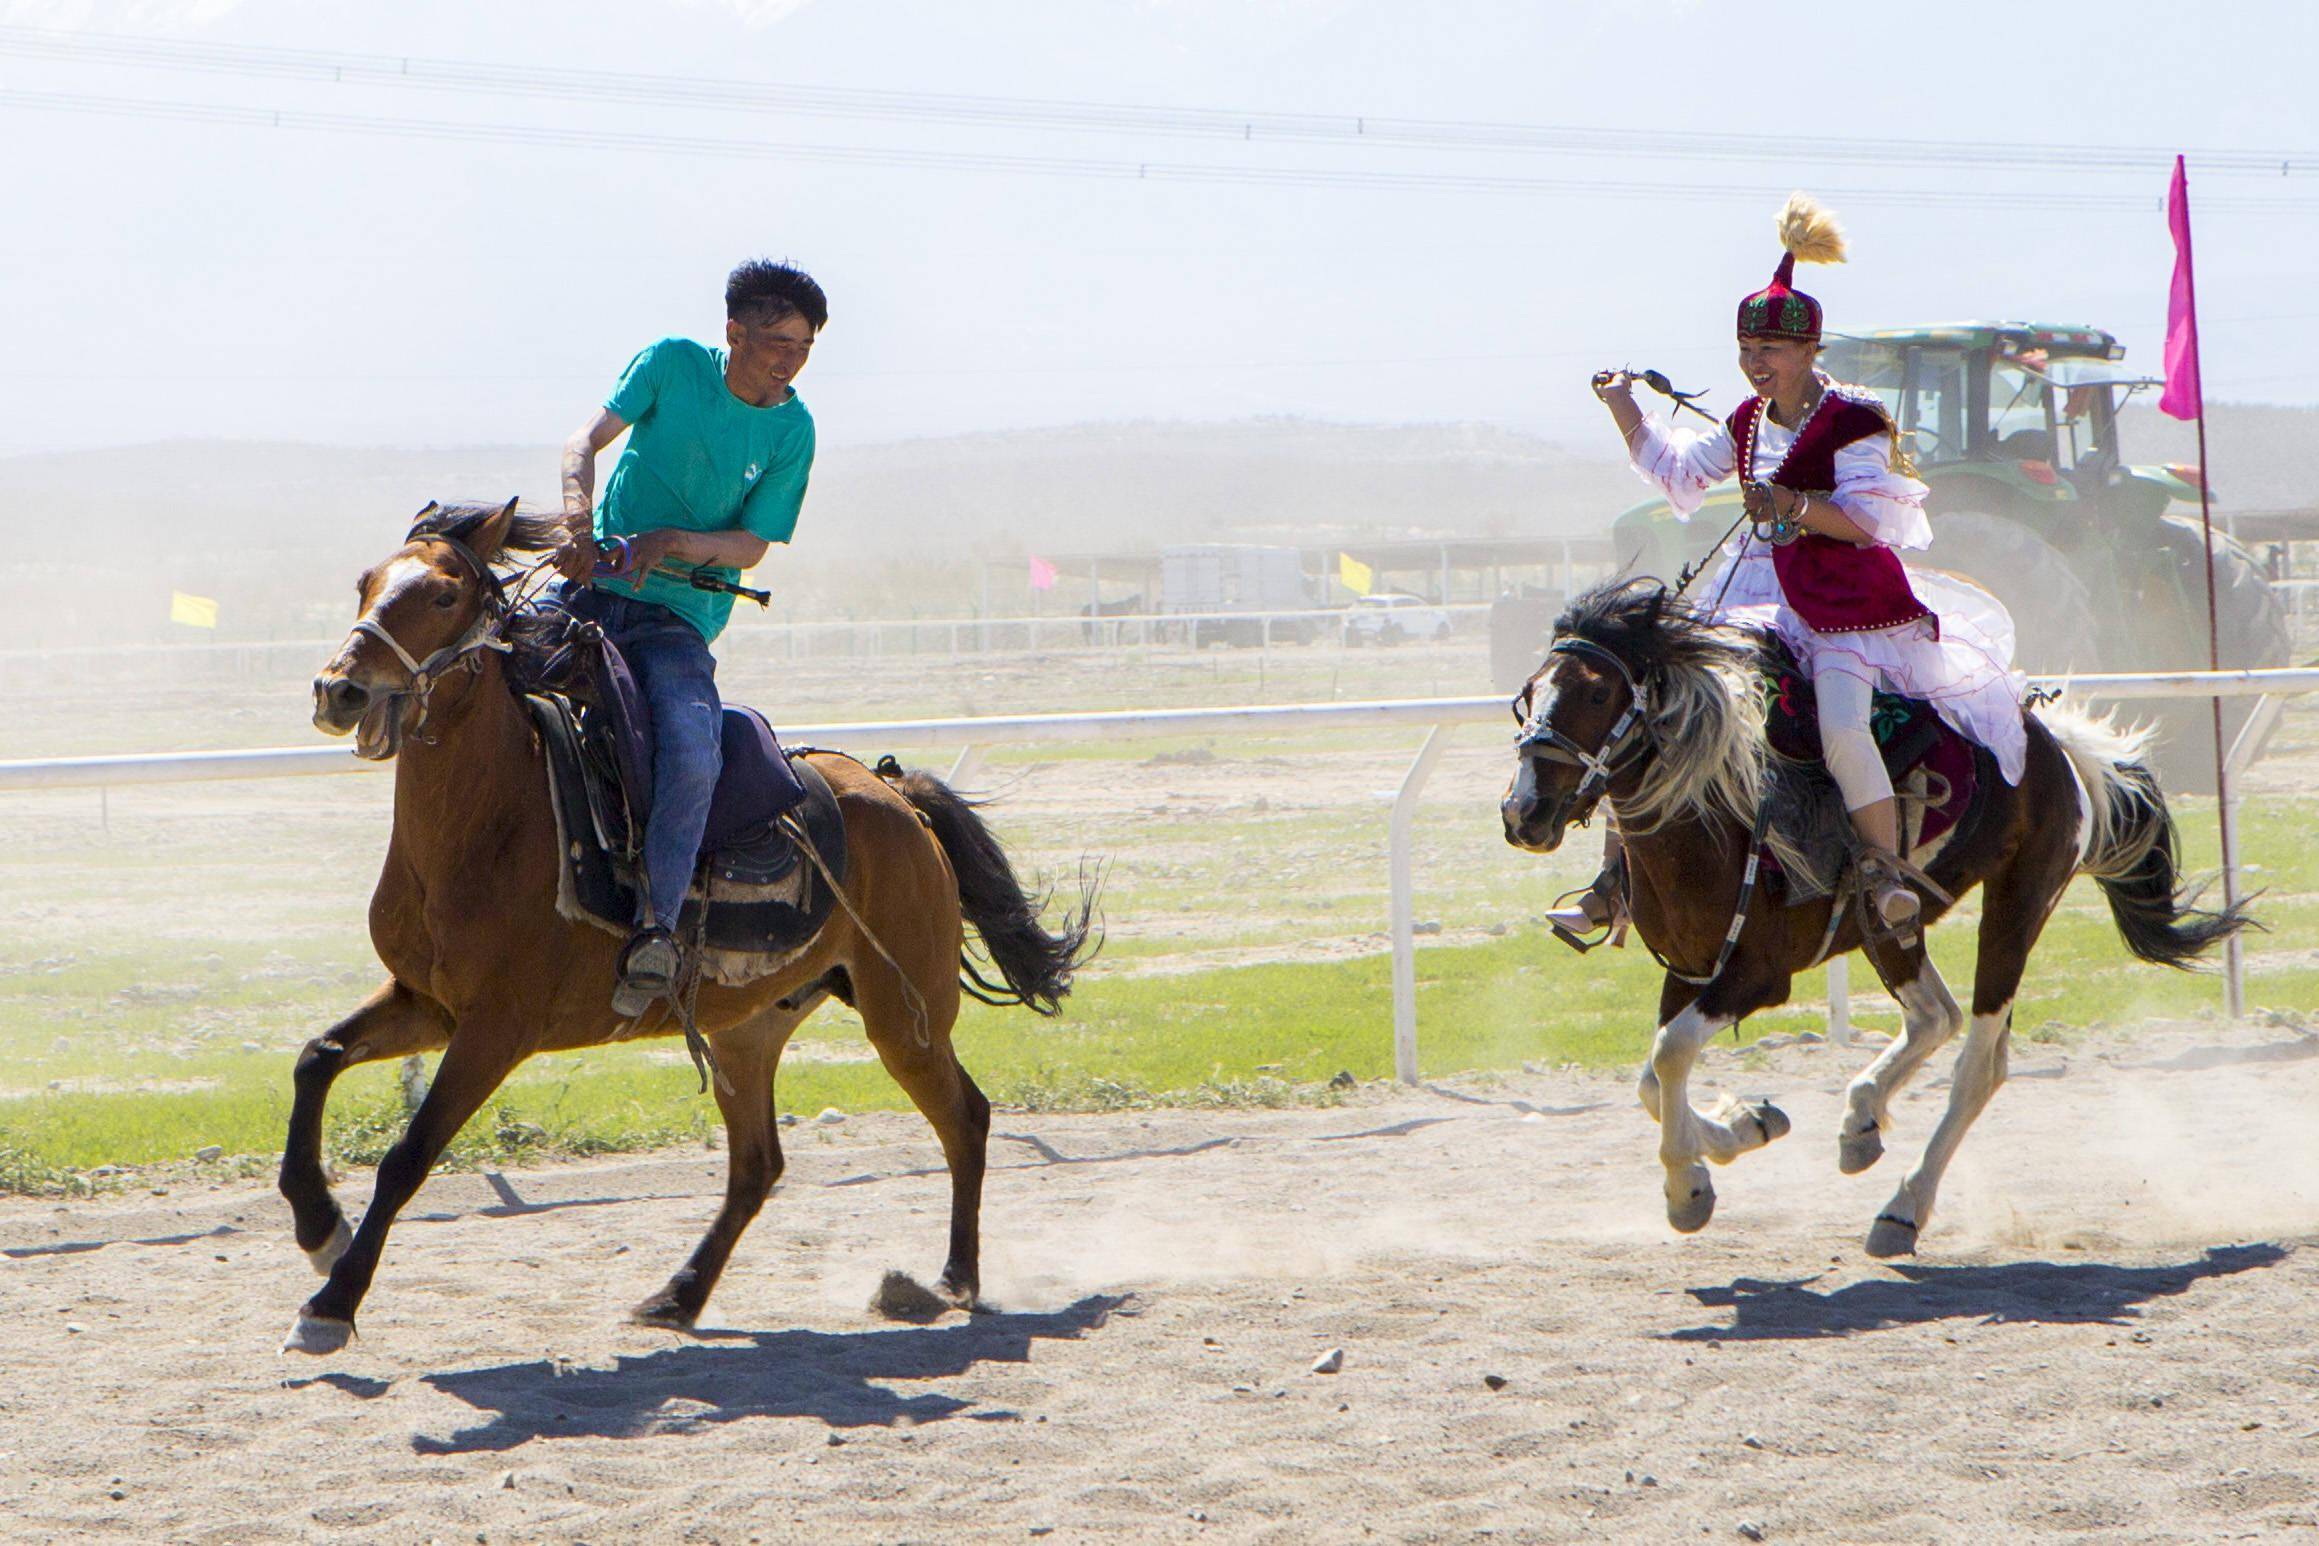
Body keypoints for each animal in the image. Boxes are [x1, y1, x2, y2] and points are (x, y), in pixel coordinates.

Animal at [280, 502, 1094, 1344]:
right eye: (365, 582)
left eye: (443, 594)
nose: (339, 690)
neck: (495, 823)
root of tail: (895, 794)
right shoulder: (426, 1003)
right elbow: (316, 1058)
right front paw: (318, 1228)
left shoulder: (495, 1030)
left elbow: (408, 1156)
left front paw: (332, 1303)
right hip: (748, 1030)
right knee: (757, 1166)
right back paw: (679, 1293)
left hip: (907, 1016)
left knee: (964, 1118)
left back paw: (956, 1276)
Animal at [1502, 579, 2244, 1260]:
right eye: (1528, 693)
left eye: (1597, 695)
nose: (1523, 813)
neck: (1716, 817)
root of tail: (2056, 746)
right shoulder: (1689, 971)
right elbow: (1653, 1081)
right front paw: (1747, 1124)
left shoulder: (1753, 976)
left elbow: (1670, 1056)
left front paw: (1688, 1189)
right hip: (1887, 926)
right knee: (1934, 1015)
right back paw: (1860, 1122)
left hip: (2018, 903)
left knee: (1978, 1063)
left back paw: (1902, 1208)